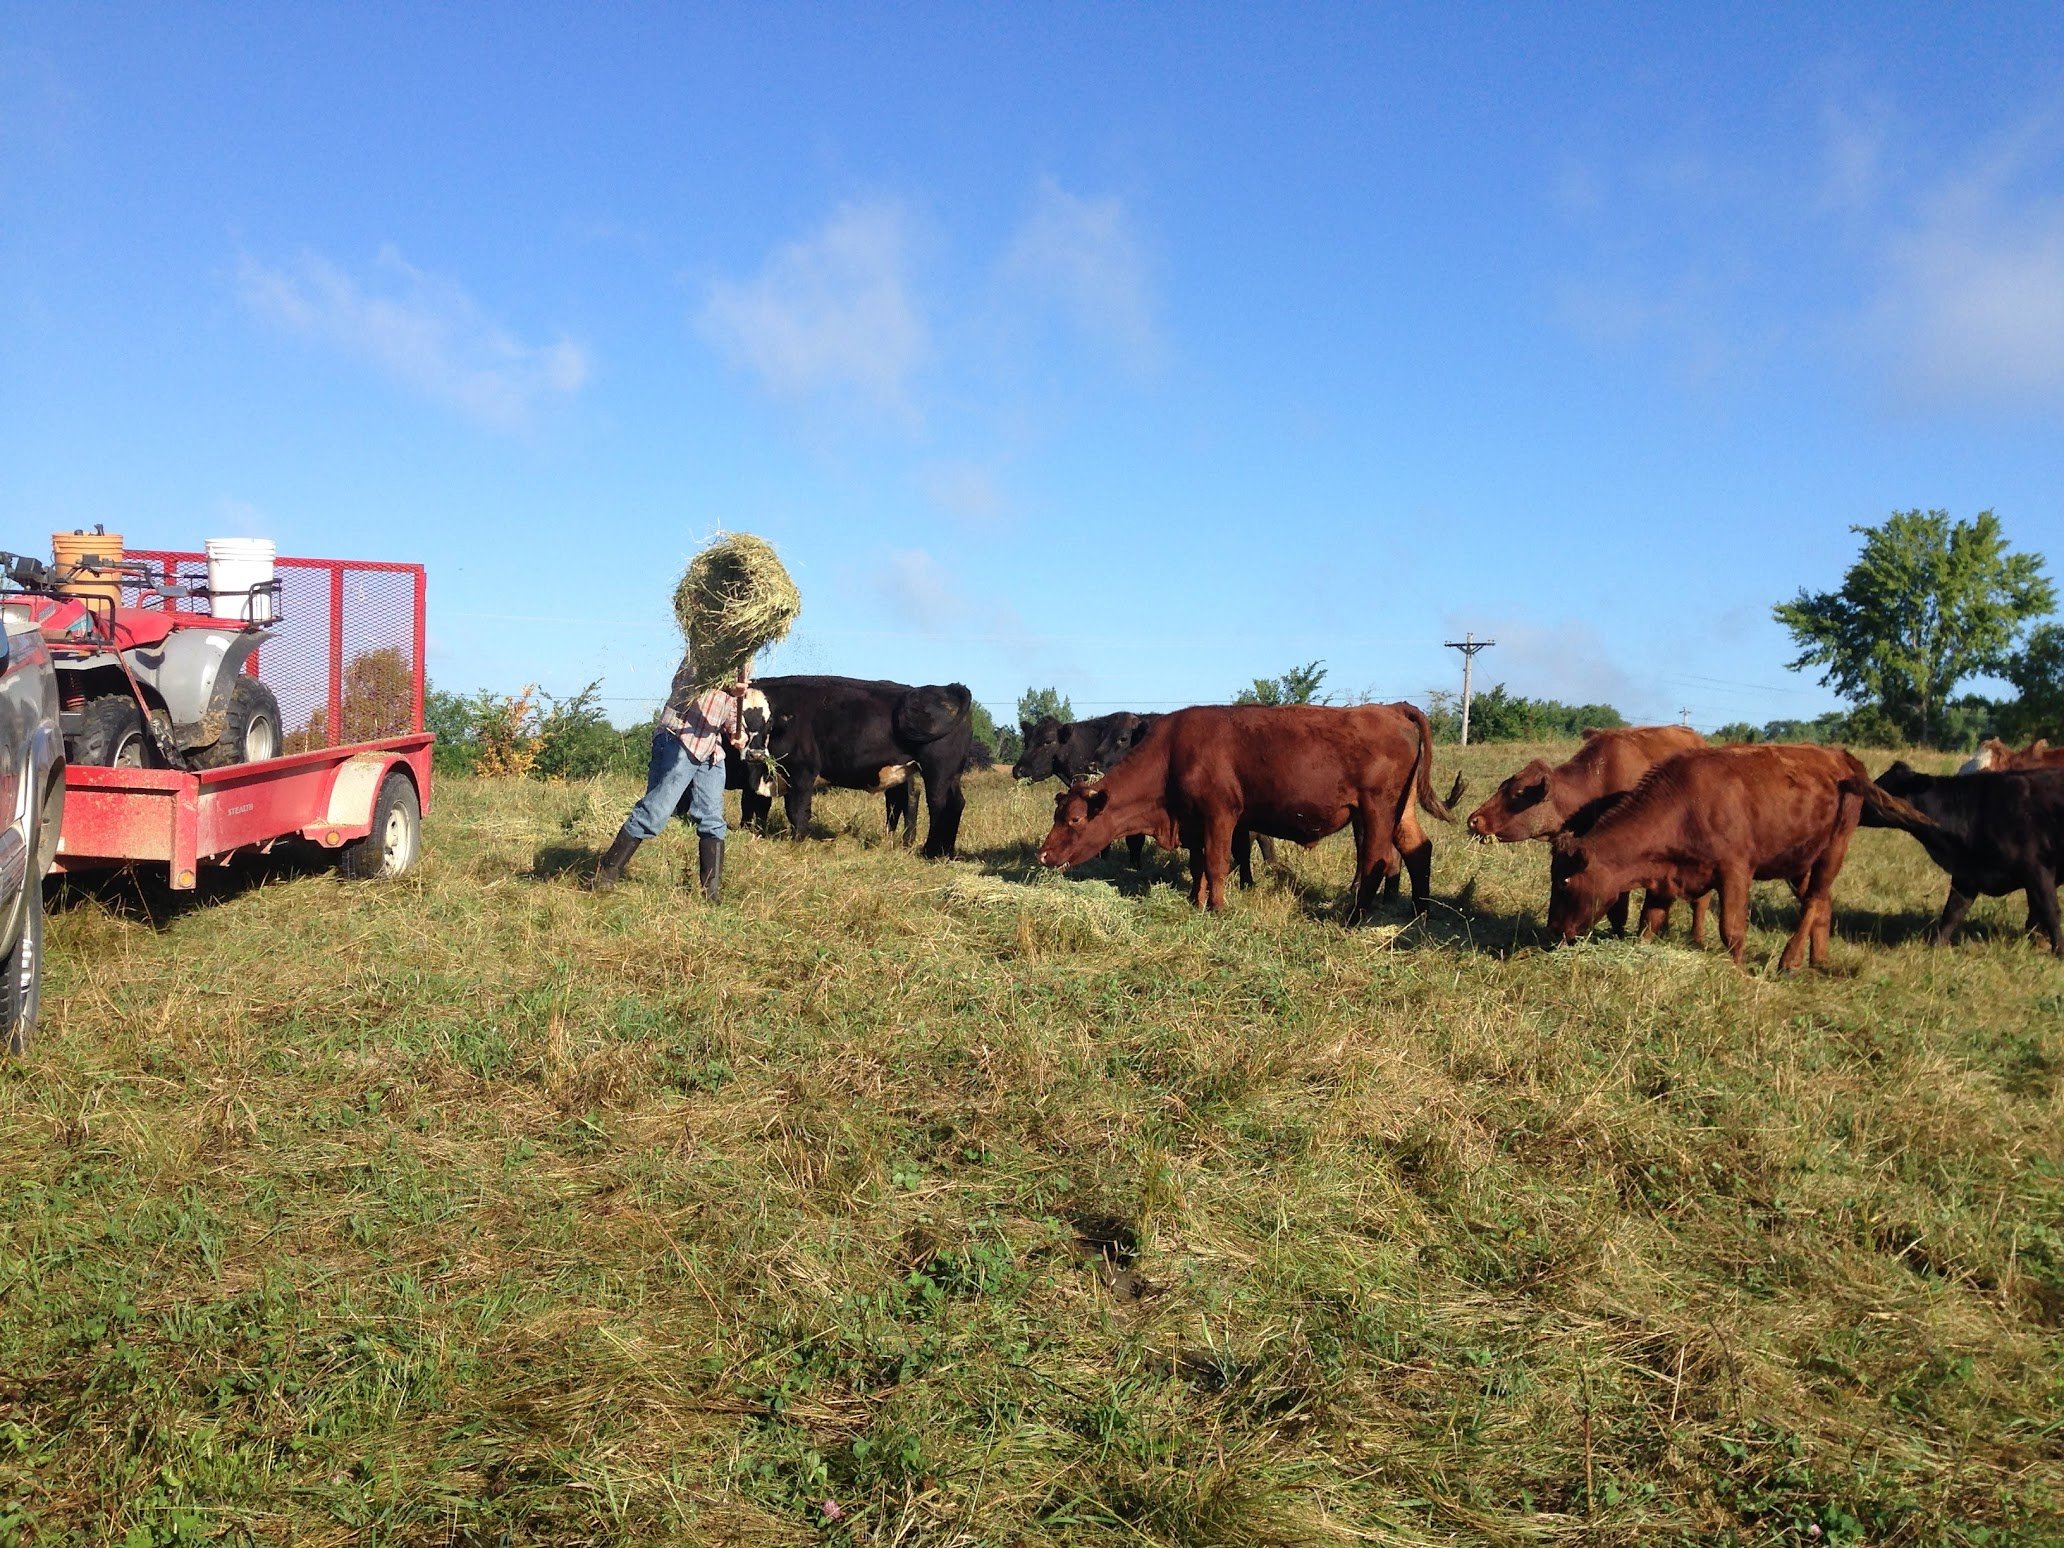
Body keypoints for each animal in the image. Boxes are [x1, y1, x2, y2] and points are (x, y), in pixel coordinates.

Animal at [727, 675, 975, 859]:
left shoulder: (802, 771)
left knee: (937, 803)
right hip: (944, 774)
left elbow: (797, 810)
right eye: (738, 720)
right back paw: (944, 851)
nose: (755, 754)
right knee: (949, 802)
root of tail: (948, 689)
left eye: (768, 722)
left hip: (938, 770)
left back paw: (930, 851)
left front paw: (797, 841)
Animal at [1038, 702, 1461, 920]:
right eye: (1057, 817)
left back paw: (1354, 916)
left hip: (1375, 810)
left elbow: (1217, 863)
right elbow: (1198, 865)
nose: (1043, 855)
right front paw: (1195, 901)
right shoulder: (1194, 821)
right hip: (1400, 809)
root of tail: (1391, 708)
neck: (1173, 751)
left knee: (1376, 858)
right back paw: (1420, 911)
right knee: (1417, 849)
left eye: (1074, 819)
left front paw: (1218, 907)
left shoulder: (1220, 815)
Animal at [1467, 725, 1709, 940]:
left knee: (1700, 901)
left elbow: (1620, 908)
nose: (1474, 820)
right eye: (1502, 786)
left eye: (1518, 793)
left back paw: (1697, 938)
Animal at [1545, 743, 1907, 970]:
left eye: (1564, 882)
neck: (1684, 805)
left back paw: (1789, 960)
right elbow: (1649, 921)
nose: (1553, 929)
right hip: (1803, 859)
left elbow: (1731, 929)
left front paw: (1739, 972)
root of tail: (1841, 758)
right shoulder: (1667, 878)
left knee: (1814, 901)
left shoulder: (1735, 871)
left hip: (1833, 851)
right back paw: (1819, 960)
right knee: (1821, 901)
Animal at [1860, 762, 2064, 954]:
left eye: (1881, 789)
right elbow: (1953, 911)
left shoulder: (2038, 869)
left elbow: (2050, 910)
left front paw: (2058, 950)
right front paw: (1936, 945)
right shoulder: (1966, 874)